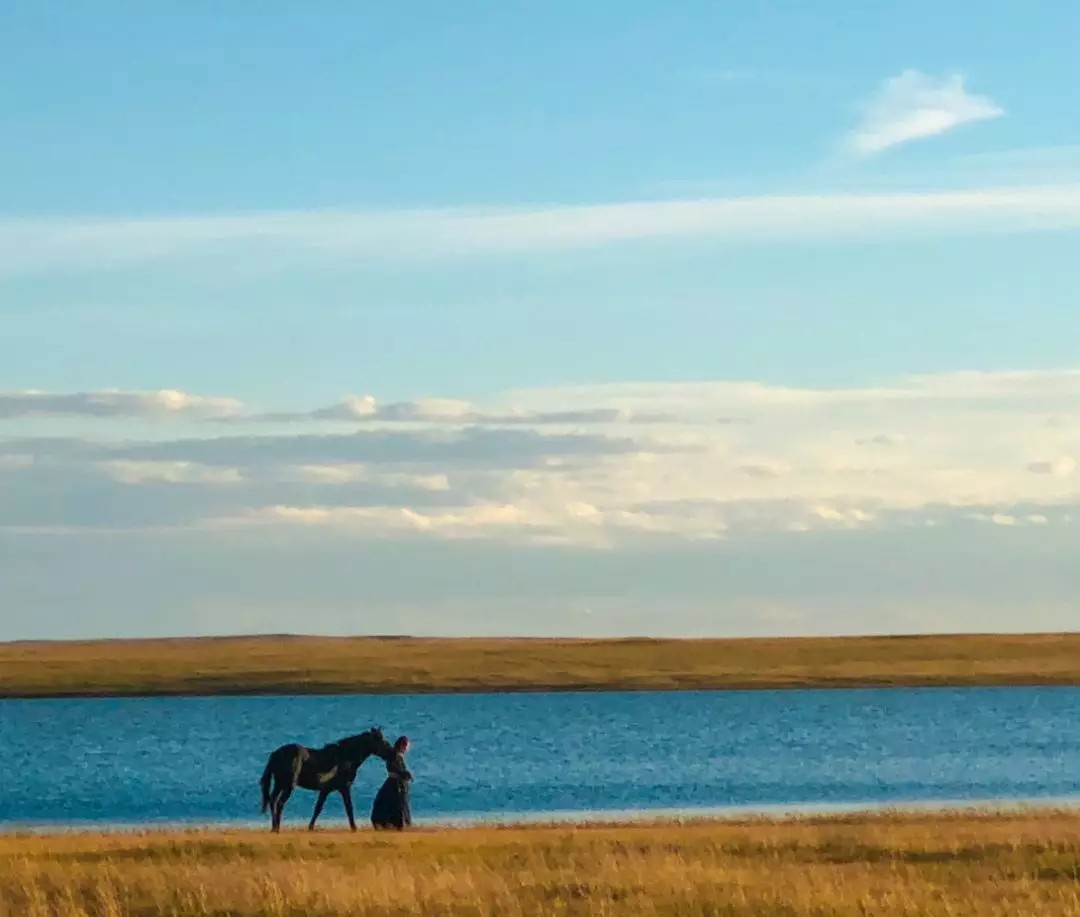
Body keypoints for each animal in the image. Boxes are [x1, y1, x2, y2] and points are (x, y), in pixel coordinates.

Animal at [259, 730, 395, 829]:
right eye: (385, 743)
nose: (392, 755)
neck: (344, 758)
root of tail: (275, 754)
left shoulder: (328, 790)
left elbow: (319, 809)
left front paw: (310, 827)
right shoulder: (343, 788)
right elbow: (347, 808)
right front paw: (354, 827)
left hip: (279, 784)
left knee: (273, 800)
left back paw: (274, 827)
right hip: (288, 785)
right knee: (279, 803)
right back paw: (277, 827)